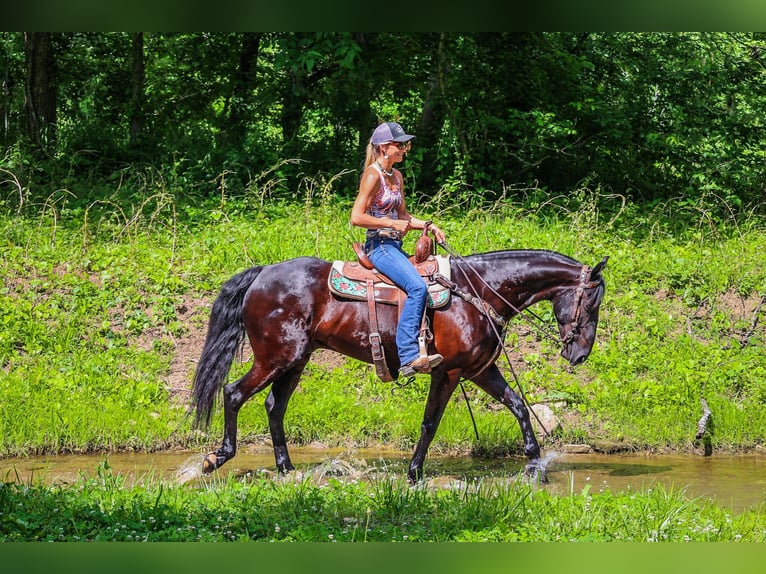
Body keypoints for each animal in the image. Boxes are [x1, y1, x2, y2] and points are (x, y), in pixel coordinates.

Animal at [190, 250, 608, 484]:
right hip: (275, 358)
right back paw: (217, 458)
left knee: (274, 408)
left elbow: (519, 406)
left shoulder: (478, 370)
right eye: (592, 303)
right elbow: (430, 423)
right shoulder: (449, 372)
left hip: (295, 360)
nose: (580, 354)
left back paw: (286, 470)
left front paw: (535, 466)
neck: (479, 292)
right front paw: (414, 473)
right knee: (234, 393)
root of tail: (261, 275)